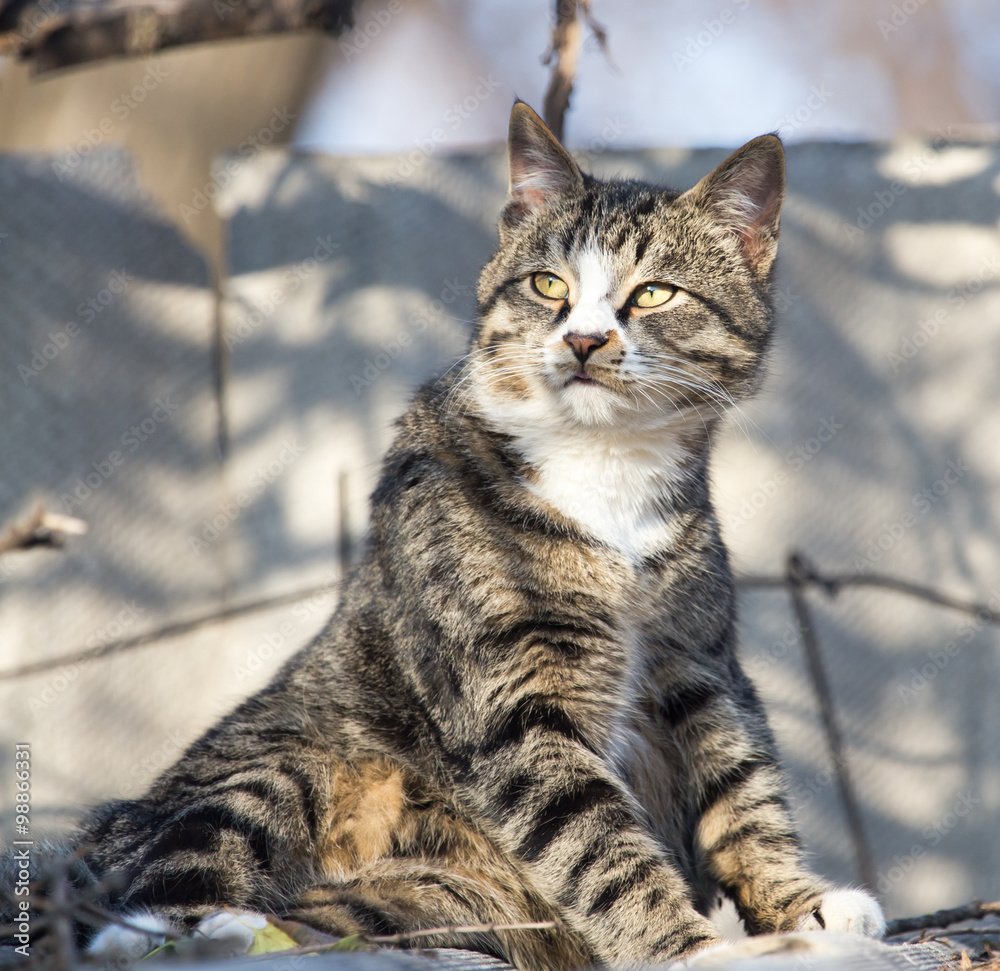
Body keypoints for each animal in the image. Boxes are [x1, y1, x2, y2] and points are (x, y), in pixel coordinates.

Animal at [48, 102, 884, 968]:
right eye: (547, 284)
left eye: (653, 293)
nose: (584, 340)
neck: (604, 465)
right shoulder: (511, 698)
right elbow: (596, 840)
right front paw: (690, 946)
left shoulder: (700, 664)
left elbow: (744, 791)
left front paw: (801, 904)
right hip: (279, 763)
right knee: (138, 905)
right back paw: (213, 928)